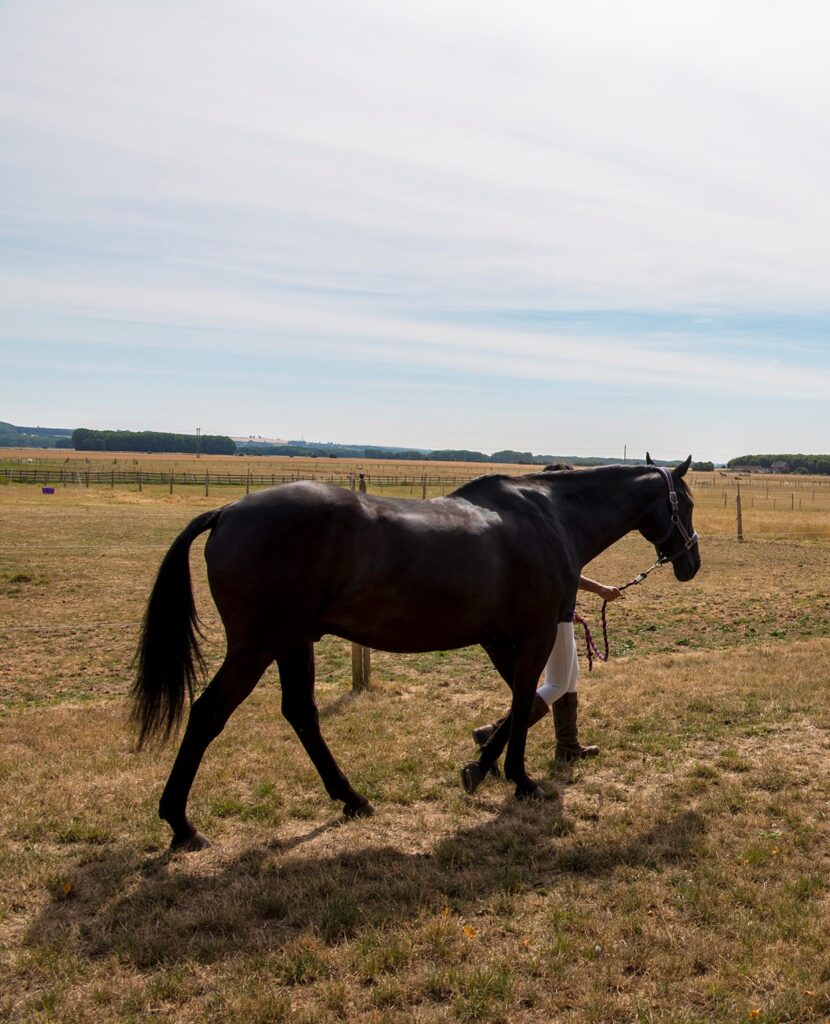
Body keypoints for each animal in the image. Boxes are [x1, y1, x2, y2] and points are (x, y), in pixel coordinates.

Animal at [130, 456, 700, 847]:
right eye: (688, 503)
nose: (691, 561)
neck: (549, 516)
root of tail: (228, 511)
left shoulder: (500, 638)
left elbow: (523, 703)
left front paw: (482, 765)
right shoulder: (536, 632)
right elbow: (522, 703)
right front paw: (520, 779)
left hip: (292, 643)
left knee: (301, 715)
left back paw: (352, 800)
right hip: (257, 646)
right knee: (208, 715)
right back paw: (181, 824)